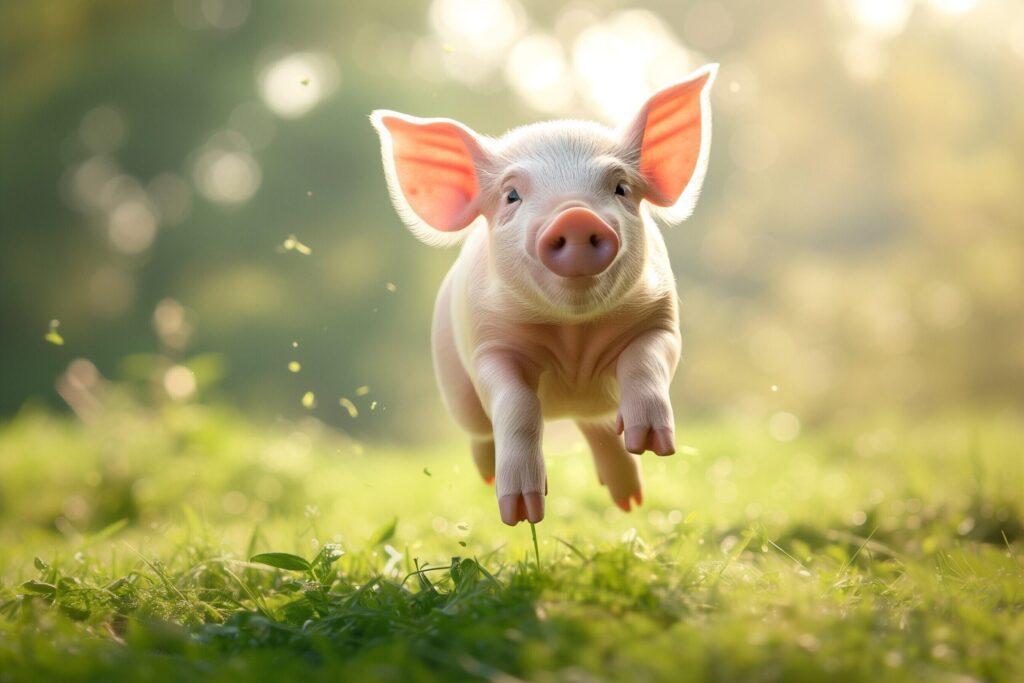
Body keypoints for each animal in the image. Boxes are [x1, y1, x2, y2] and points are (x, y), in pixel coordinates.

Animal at [372, 65, 716, 524]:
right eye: (512, 195)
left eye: (621, 188)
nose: (575, 215)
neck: (573, 342)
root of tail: (571, 402)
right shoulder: (489, 347)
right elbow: (517, 405)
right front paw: (522, 514)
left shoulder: (659, 319)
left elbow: (647, 360)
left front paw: (651, 443)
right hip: (454, 383)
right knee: (480, 429)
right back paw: (487, 473)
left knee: (598, 426)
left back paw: (630, 501)